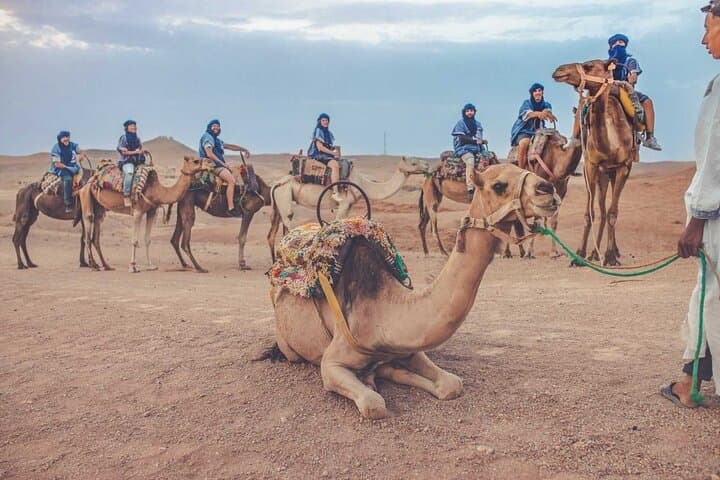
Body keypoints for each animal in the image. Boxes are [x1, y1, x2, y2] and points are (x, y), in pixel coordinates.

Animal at [78, 156, 208, 272]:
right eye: (196, 161)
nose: (209, 163)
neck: (157, 191)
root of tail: (92, 179)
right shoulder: (138, 212)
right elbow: (135, 240)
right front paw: (133, 267)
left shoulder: (151, 211)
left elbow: (147, 239)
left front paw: (150, 266)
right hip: (86, 196)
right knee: (87, 231)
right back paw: (94, 266)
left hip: (99, 206)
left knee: (96, 234)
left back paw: (106, 266)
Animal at [267, 156, 428, 261]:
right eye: (414, 162)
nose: (427, 165)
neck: (363, 183)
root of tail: (276, 183)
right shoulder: (344, 203)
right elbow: (337, 224)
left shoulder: (349, 205)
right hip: (285, 196)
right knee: (288, 222)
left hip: (278, 203)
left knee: (272, 232)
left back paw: (275, 261)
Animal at [553, 59, 638, 266]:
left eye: (589, 66)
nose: (559, 70)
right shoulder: (591, 166)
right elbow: (589, 213)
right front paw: (580, 255)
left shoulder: (623, 167)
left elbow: (613, 213)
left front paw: (609, 256)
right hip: (603, 175)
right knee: (602, 209)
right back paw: (594, 252)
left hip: (614, 173)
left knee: (609, 210)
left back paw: (612, 252)